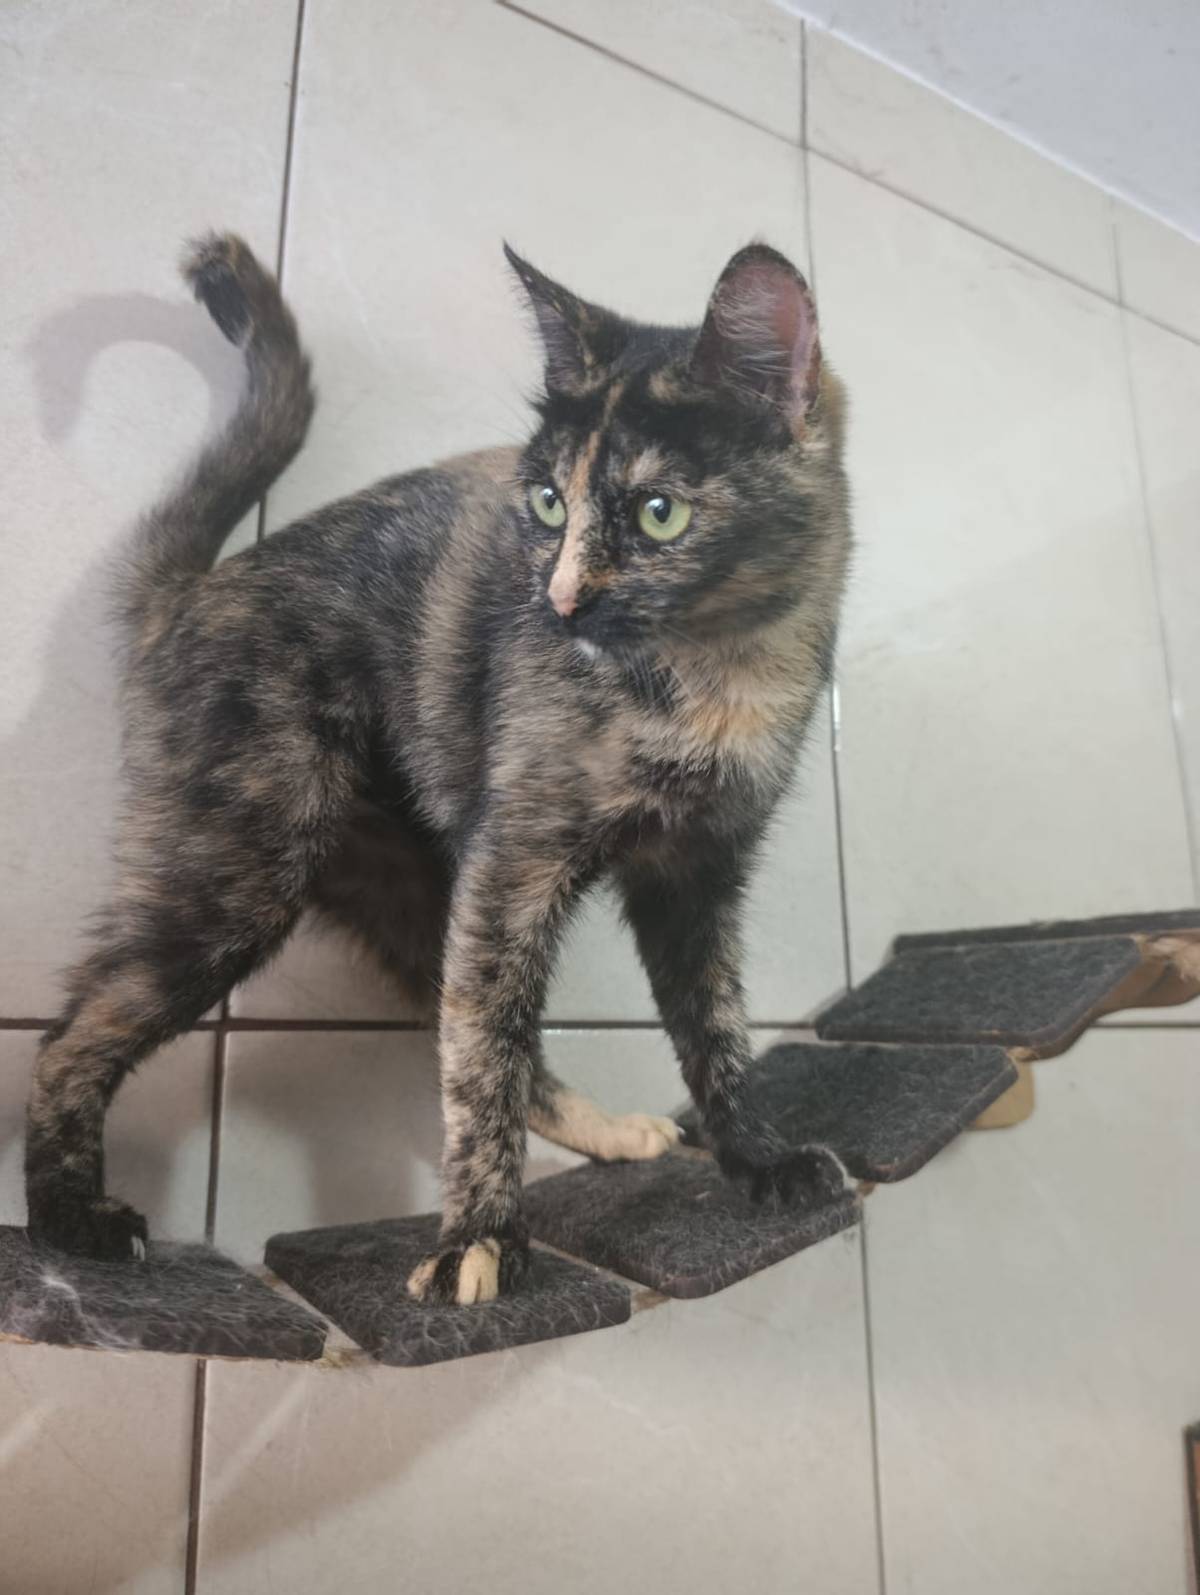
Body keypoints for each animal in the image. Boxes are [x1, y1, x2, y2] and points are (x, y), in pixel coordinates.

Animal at [25, 232, 852, 1305]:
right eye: (547, 502)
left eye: (659, 513)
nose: (559, 602)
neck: (717, 680)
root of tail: (194, 590)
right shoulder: (517, 864)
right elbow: (483, 1056)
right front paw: (481, 1238)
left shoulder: (697, 875)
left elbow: (714, 1025)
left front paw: (757, 1156)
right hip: (245, 872)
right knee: (70, 1035)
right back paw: (67, 1218)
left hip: (409, 884)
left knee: (460, 1011)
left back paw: (606, 1131)